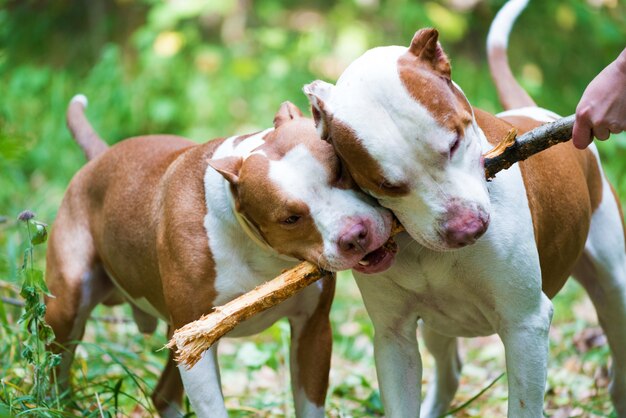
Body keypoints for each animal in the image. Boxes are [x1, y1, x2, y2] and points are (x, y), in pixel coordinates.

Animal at [45, 96, 394, 416]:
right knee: (57, 372)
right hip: (67, 310)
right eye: (290, 218)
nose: (356, 235)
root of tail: (100, 158)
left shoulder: (313, 329)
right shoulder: (195, 344)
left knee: (163, 394)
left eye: (339, 169)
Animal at [302, 1, 624, 416]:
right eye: (386, 185)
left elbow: (523, 403)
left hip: (614, 286)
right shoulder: (394, 337)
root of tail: (536, 111)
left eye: (454, 142)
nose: (467, 229)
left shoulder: (525, 325)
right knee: (450, 368)